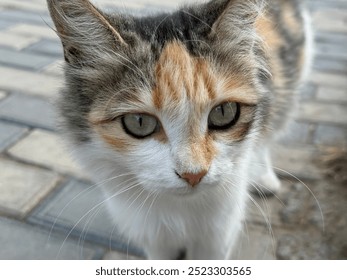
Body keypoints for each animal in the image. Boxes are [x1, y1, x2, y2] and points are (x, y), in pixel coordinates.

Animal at [47, 0, 312, 260]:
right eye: (139, 122)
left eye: (224, 112)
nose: (193, 175)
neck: (180, 213)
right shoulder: (153, 238)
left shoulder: (217, 237)